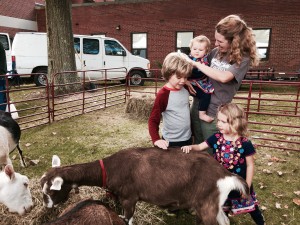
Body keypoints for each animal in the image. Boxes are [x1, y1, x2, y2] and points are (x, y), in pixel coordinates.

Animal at [41, 148, 250, 225]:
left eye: (51, 190)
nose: (47, 206)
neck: (111, 168)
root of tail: (225, 174)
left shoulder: (129, 198)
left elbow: (128, 220)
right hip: (214, 205)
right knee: (225, 221)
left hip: (207, 206)